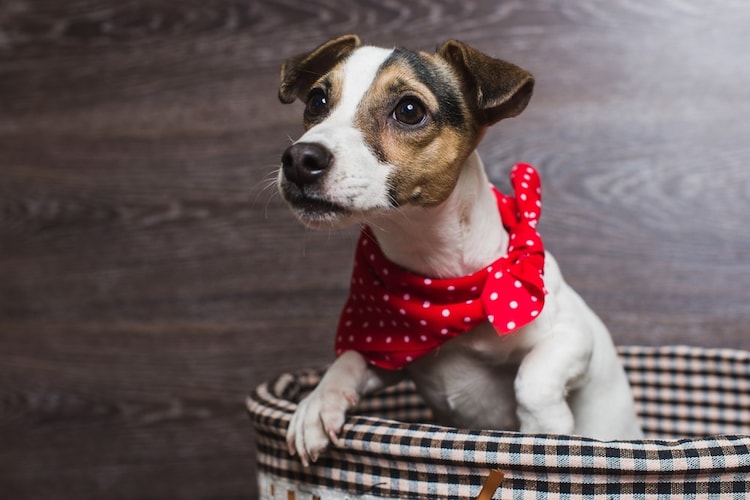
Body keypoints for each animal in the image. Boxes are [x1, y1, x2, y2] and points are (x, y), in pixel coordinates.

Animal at [276, 34, 648, 464]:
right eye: (317, 101)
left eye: (409, 110)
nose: (299, 159)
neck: (442, 285)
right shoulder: (390, 352)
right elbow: (349, 359)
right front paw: (317, 404)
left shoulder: (572, 336)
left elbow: (533, 379)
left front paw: (545, 429)